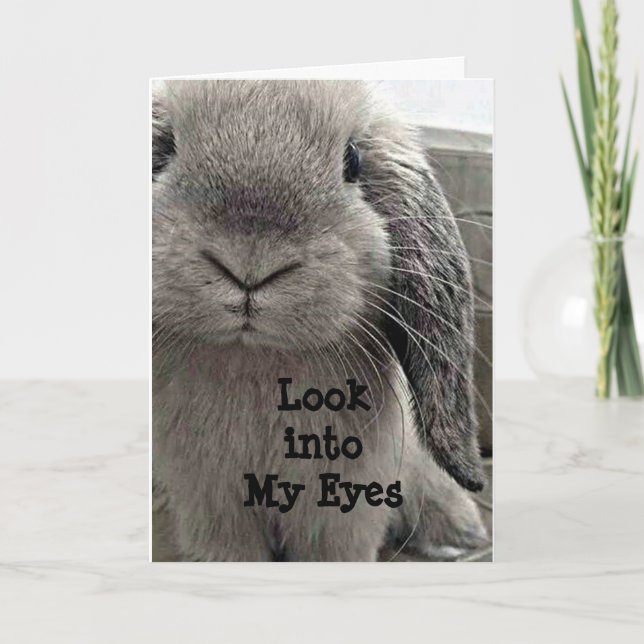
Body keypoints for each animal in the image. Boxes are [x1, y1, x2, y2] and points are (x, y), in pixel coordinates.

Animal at [152, 80, 489, 561]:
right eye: (164, 148)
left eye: (353, 160)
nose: (249, 262)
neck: (259, 363)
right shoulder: (213, 511)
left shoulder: (340, 511)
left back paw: (460, 535)